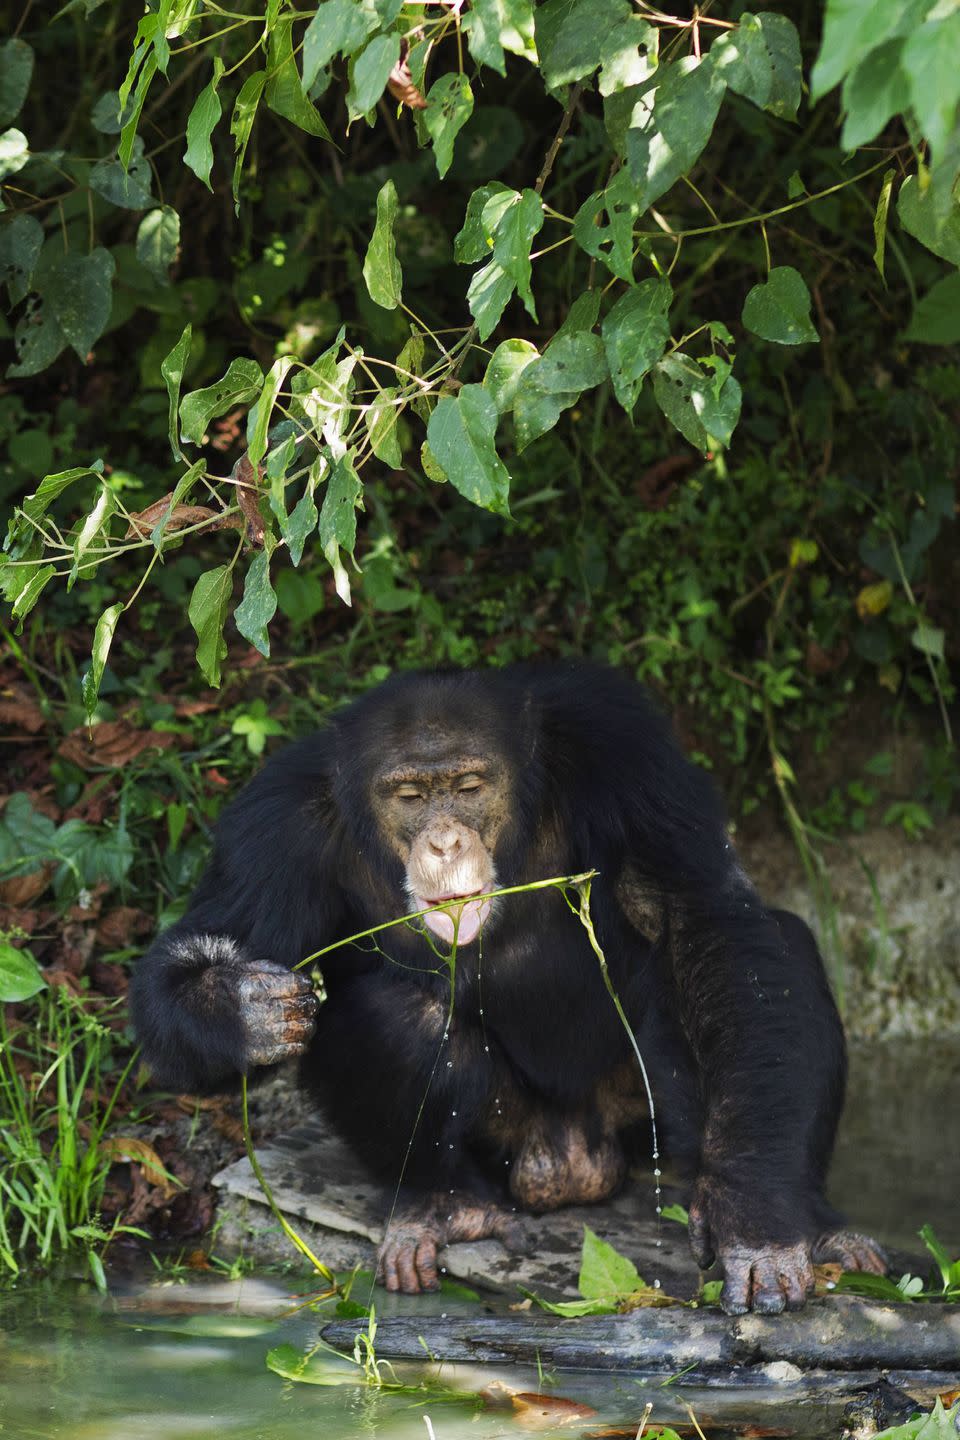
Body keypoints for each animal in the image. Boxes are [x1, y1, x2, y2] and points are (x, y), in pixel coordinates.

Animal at [131, 662, 892, 1319]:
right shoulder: (270, 829)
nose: (443, 841)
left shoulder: (627, 749)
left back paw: (817, 1226)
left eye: (469, 785)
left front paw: (755, 1222)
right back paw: (444, 1208)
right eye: (409, 796)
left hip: (637, 1120)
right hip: (507, 1141)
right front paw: (242, 1007)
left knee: (767, 949)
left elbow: (706, 914)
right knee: (391, 1010)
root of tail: (571, 1163)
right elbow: (200, 947)